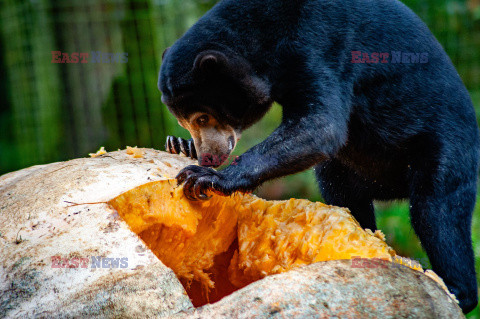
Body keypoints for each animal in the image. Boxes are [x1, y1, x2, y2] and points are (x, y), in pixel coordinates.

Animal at [158, 0, 480, 312]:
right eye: (186, 122)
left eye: (202, 117)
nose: (208, 158)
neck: (267, 36)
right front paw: (181, 146)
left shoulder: (318, 44)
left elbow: (321, 125)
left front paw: (206, 178)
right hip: (353, 169)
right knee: (343, 190)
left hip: (445, 147)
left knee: (437, 212)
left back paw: (454, 290)